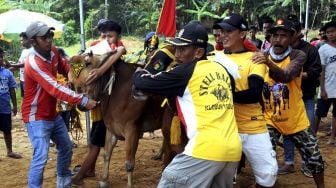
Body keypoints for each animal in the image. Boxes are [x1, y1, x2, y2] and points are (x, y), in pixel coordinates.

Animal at [68, 51, 169, 188]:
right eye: (72, 83)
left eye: (90, 79)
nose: (81, 105)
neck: (117, 91)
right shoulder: (111, 129)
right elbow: (106, 154)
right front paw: (104, 180)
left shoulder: (132, 130)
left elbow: (129, 163)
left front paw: (129, 185)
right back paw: (159, 155)